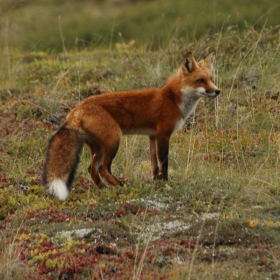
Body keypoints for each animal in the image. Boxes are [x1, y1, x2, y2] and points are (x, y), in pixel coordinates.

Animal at [42, 52, 220, 200]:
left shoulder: (152, 136)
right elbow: (164, 163)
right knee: (103, 168)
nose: (217, 91)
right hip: (114, 140)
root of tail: (76, 110)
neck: (173, 99)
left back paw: (104, 189)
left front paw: (156, 182)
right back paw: (120, 186)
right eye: (201, 80)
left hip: (98, 147)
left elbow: (154, 164)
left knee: (92, 170)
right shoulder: (163, 134)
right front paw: (165, 183)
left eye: (211, 78)